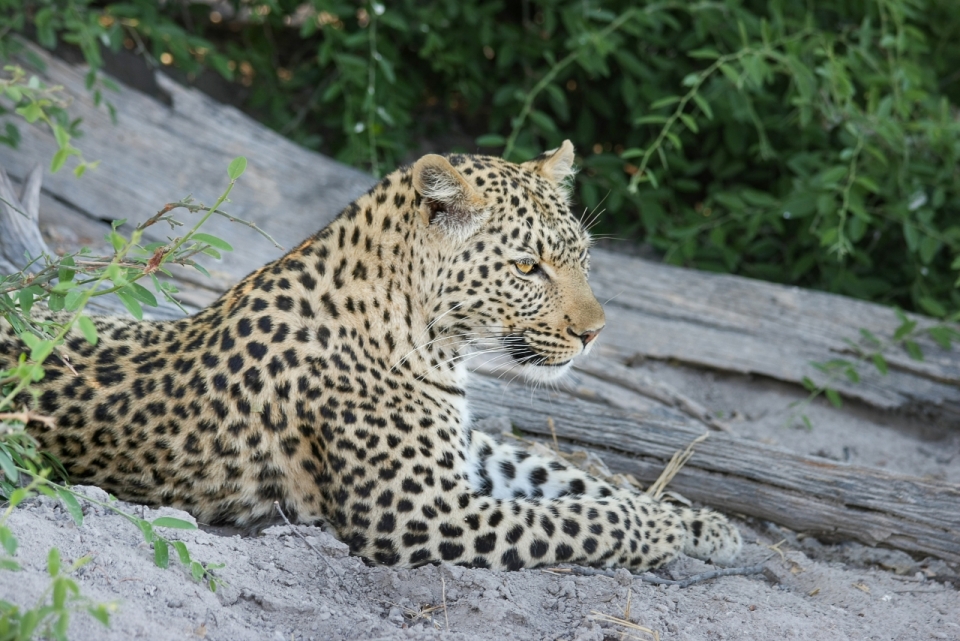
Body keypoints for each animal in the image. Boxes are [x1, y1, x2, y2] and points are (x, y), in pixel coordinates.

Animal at [0, 144, 744, 568]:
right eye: (527, 267)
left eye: (582, 257)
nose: (596, 332)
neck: (431, 336)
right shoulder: (422, 513)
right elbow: (580, 518)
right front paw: (662, 531)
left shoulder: (465, 450)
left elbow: (572, 477)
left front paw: (708, 526)